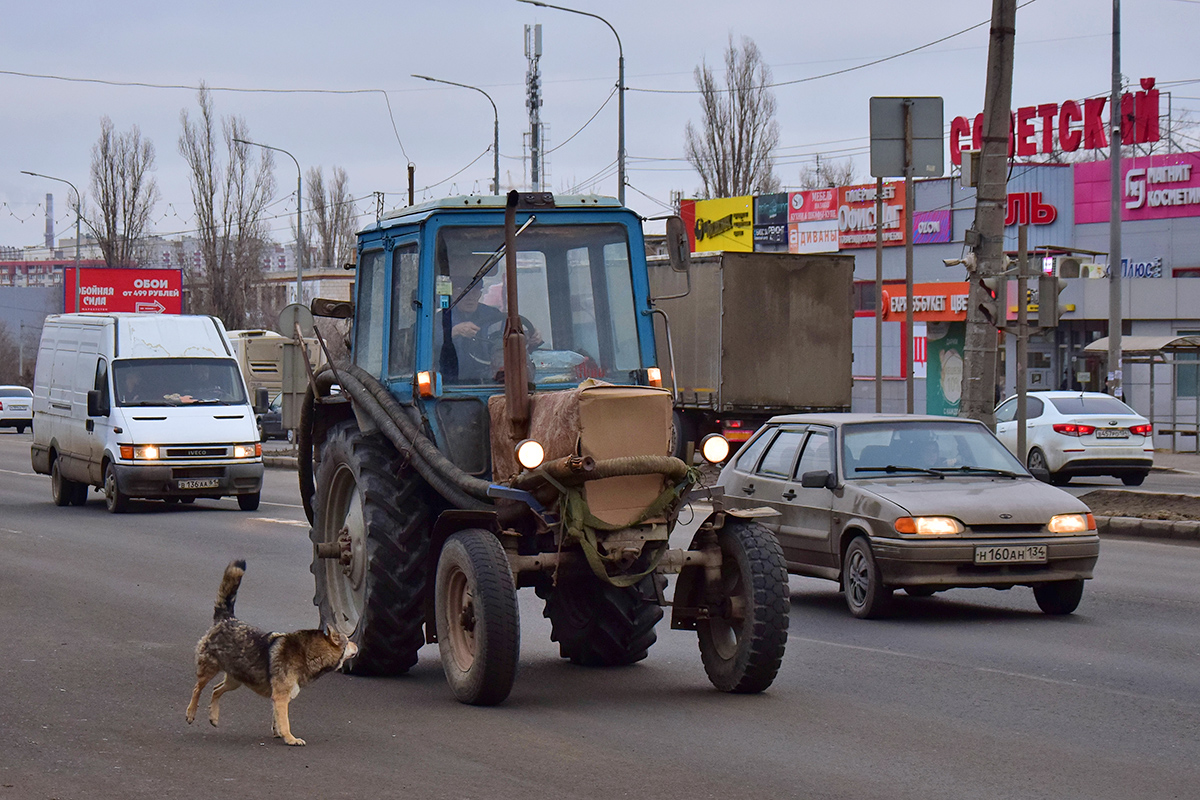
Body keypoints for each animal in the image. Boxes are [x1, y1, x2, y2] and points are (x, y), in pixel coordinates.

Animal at [183, 561, 355, 748]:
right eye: (348, 641)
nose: (357, 644)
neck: (307, 651)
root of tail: (226, 619)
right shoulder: (281, 697)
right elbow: (285, 721)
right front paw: (291, 738)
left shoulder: (279, 697)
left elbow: (277, 718)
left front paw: (278, 733)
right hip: (209, 669)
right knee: (197, 688)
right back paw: (191, 713)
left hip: (235, 680)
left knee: (216, 690)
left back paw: (213, 717)